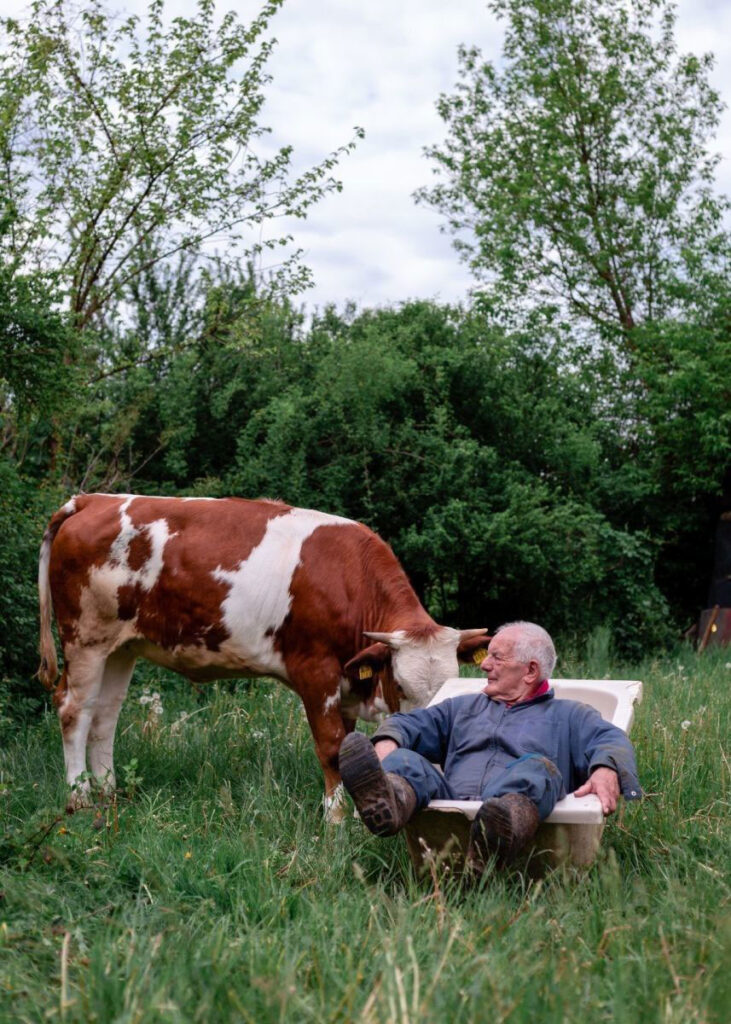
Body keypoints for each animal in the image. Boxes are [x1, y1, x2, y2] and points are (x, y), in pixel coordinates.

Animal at [37, 491, 487, 819]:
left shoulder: (345, 682)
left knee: (105, 715)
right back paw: (79, 798)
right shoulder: (315, 672)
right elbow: (331, 748)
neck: (347, 581)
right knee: (74, 709)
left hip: (121, 646)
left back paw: (109, 793)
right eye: (400, 683)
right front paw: (336, 822)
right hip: (86, 637)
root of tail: (93, 499)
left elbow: (348, 747)